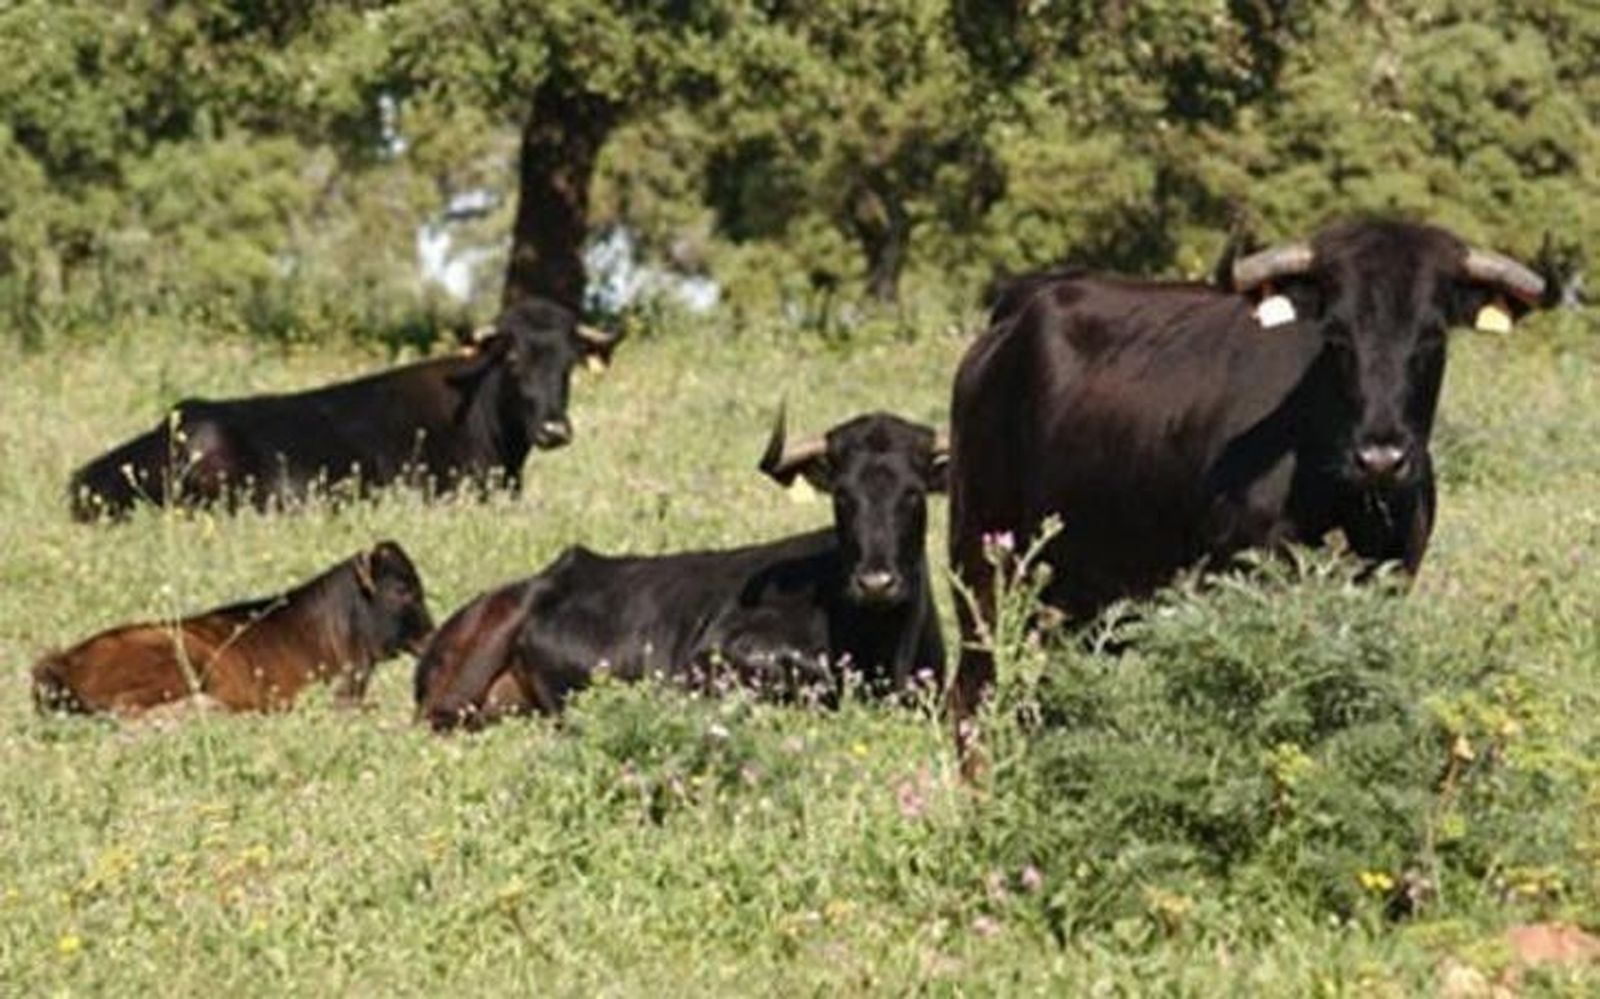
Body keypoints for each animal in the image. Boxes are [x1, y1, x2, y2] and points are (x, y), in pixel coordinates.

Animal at [947, 218, 1556, 740]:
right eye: (1337, 336)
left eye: (1432, 337)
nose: (1381, 457)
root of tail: (1016, 313)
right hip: (984, 575)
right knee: (972, 698)